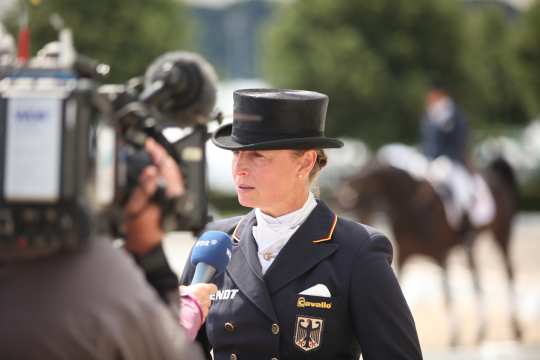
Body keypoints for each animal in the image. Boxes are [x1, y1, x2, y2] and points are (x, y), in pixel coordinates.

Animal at [336, 149, 520, 346]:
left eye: (363, 186)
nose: (361, 218)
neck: (413, 210)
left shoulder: (441, 256)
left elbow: (447, 297)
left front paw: (454, 336)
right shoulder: (403, 255)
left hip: (502, 234)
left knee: (508, 271)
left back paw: (514, 329)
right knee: (476, 277)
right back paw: (482, 330)